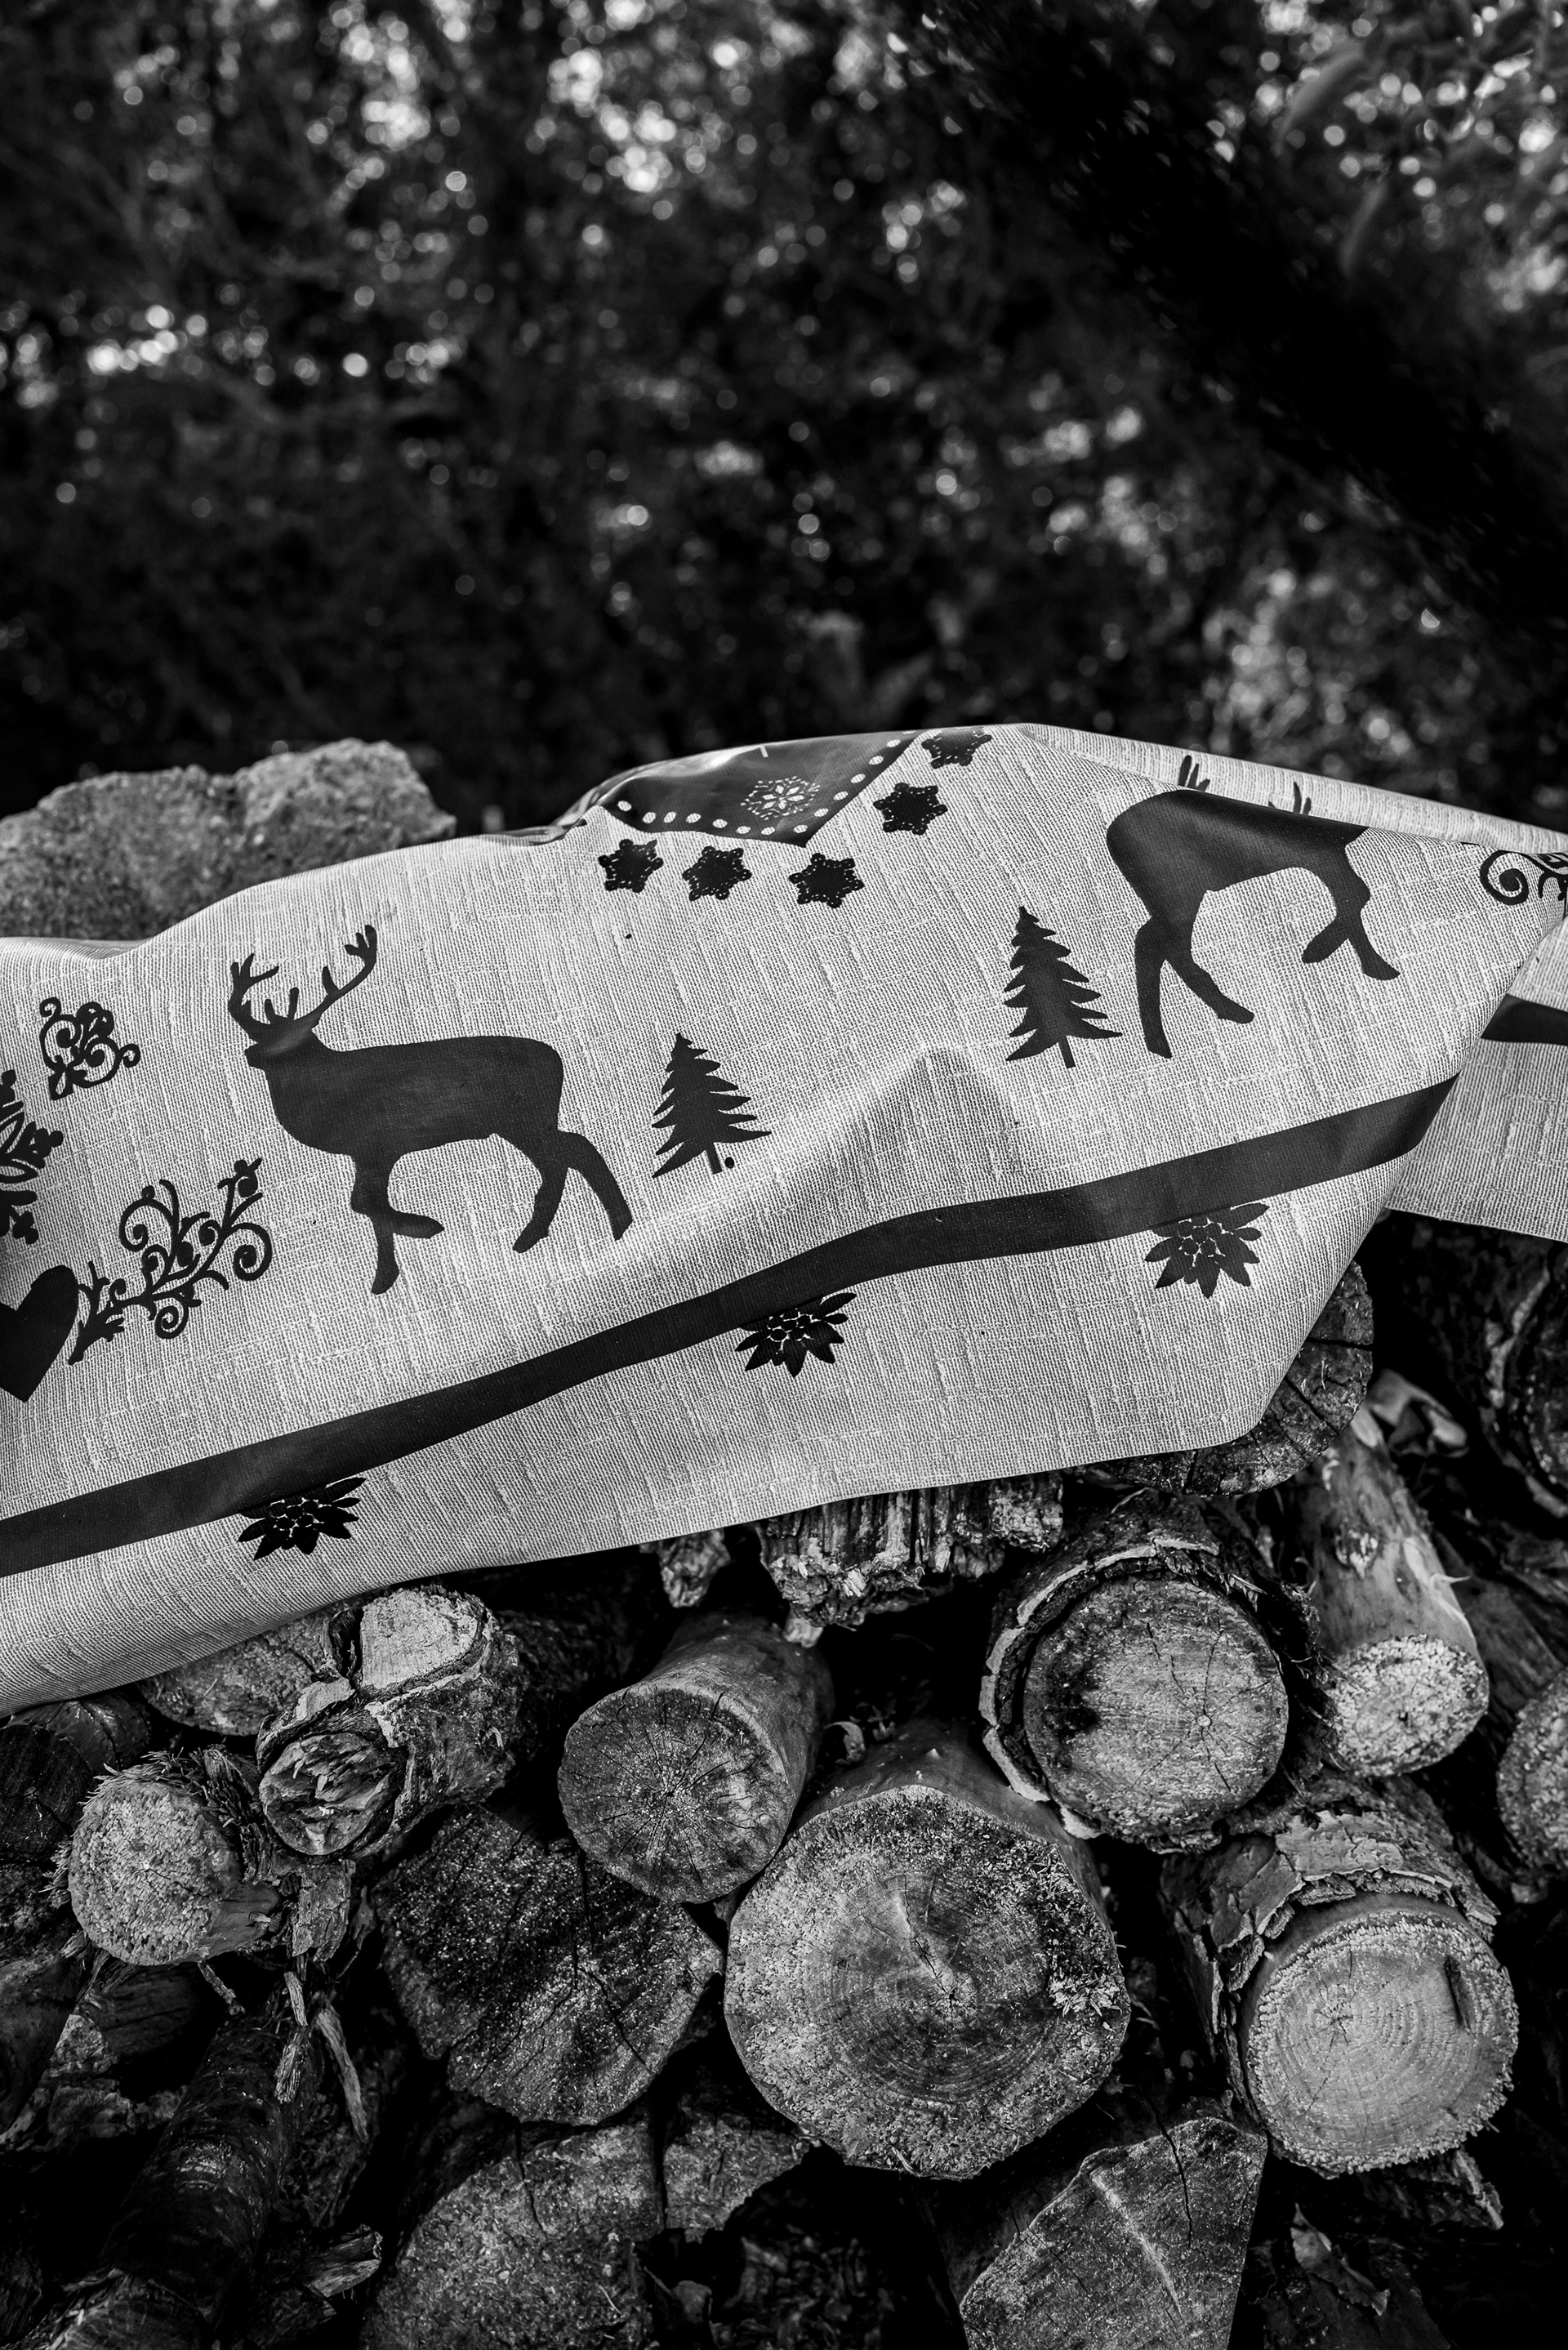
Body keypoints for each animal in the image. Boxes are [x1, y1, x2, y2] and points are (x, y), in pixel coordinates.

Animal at [228, 926, 633, 1295]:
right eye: (258, 1035)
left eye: (296, 1038)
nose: (249, 1054)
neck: (325, 1095)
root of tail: (557, 1058)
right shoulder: (366, 1152)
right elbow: (369, 1204)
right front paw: (384, 1279)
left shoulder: (377, 1144)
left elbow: (365, 1202)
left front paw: (424, 1229)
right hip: (528, 1120)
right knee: (566, 1155)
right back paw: (572, 1231)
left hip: (524, 1117)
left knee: (571, 1152)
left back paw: (593, 1227)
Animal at [1104, 784, 1399, 1059]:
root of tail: (1111, 838)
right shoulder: (1318, 850)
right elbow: (1356, 893)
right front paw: (1323, 950)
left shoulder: (1330, 850)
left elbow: (1353, 895)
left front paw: (1356, 960)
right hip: (1177, 893)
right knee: (1156, 942)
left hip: (1172, 898)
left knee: (1161, 945)